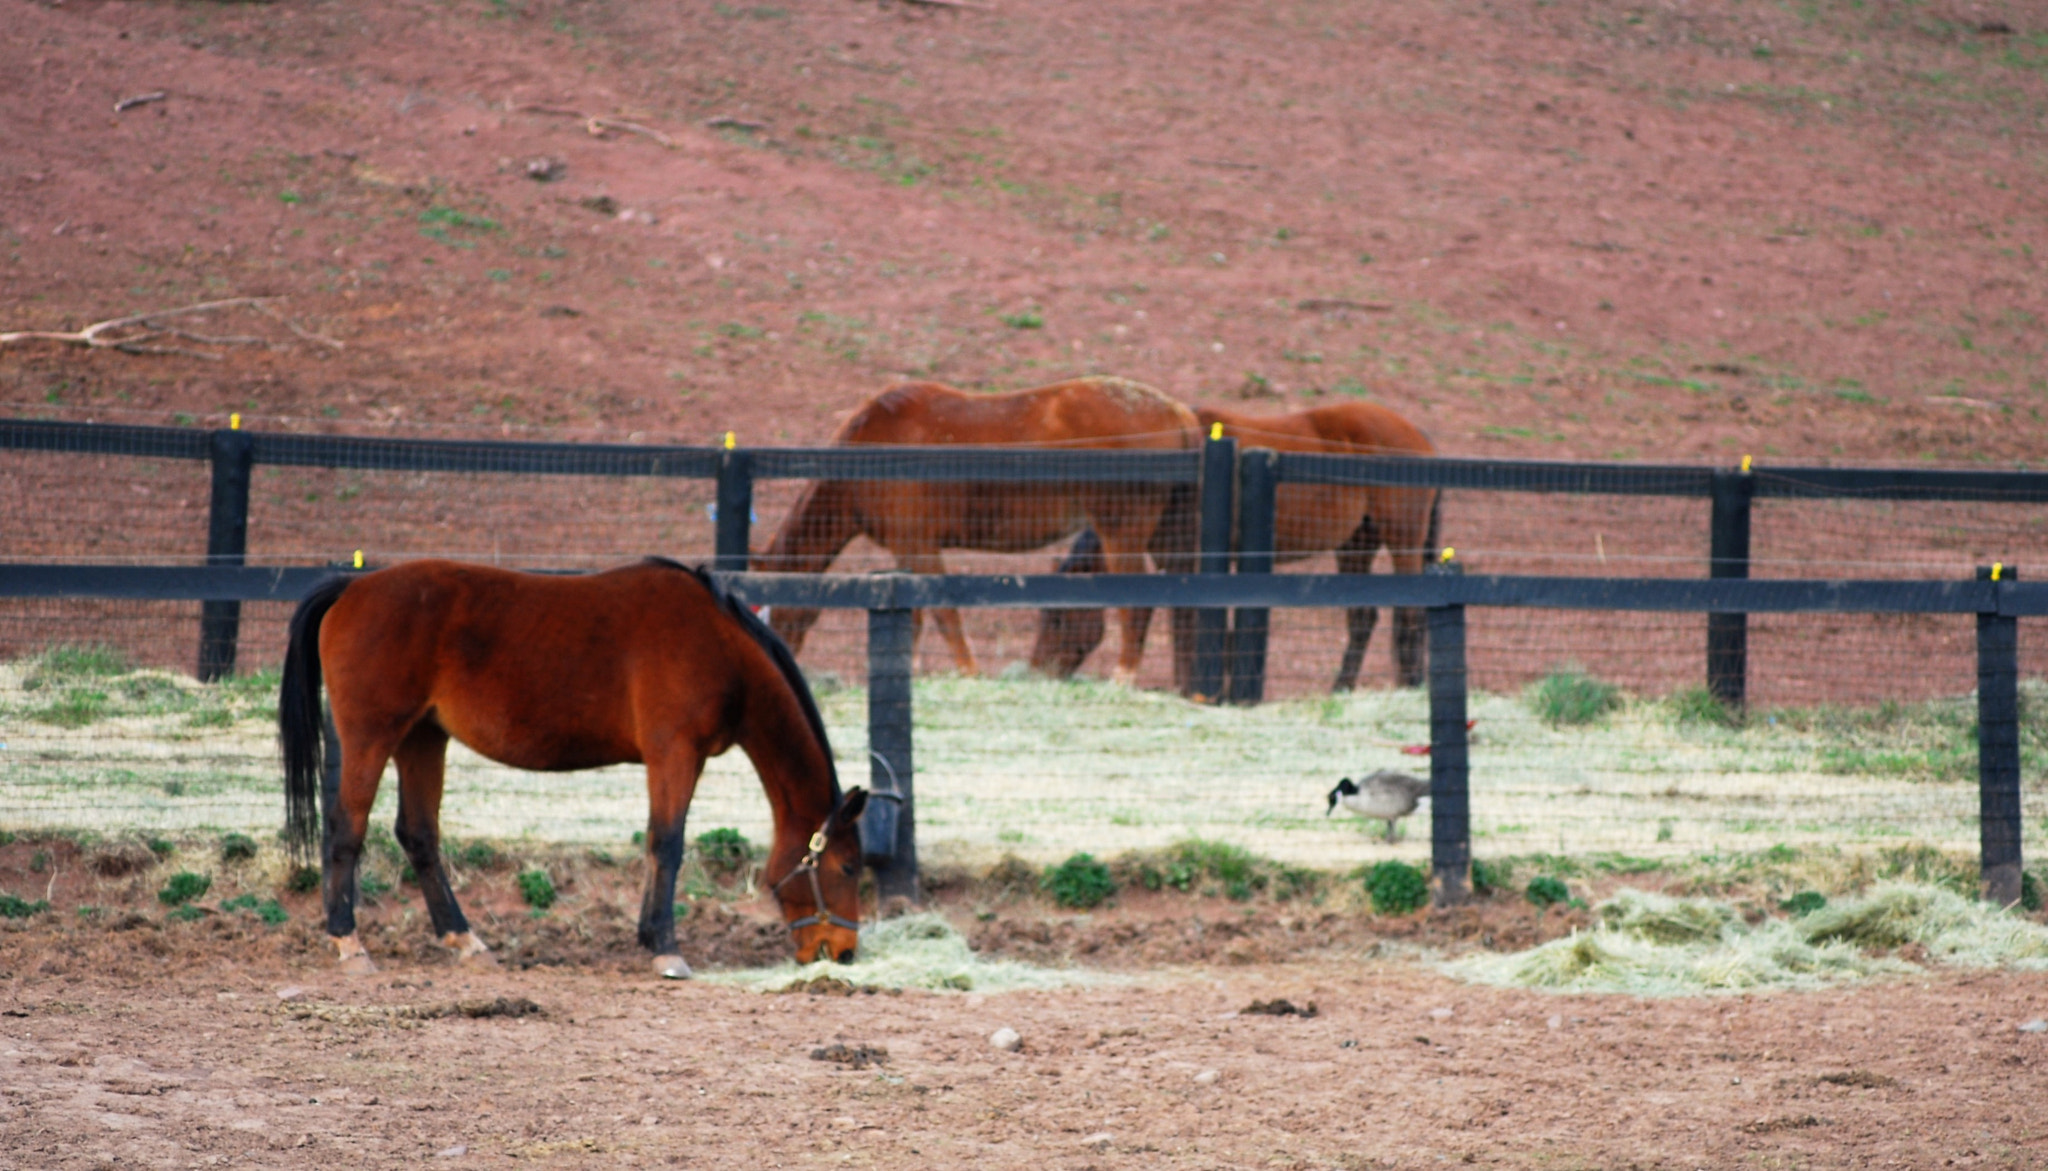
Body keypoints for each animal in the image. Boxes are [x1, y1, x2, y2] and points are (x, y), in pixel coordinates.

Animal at [278, 556, 864, 978]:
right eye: (849, 868)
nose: (844, 950)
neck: (719, 645)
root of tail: (352, 588)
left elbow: (655, 844)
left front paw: (649, 936)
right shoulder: (675, 754)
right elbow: (667, 845)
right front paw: (666, 947)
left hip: (423, 738)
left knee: (419, 834)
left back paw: (465, 940)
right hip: (373, 737)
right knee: (346, 828)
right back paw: (349, 943)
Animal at [757, 374, 1196, 679]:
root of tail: (1175, 410)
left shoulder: (917, 545)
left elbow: (944, 615)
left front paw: (968, 672)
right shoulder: (905, 552)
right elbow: (915, 619)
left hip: (1121, 532)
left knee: (1137, 606)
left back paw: (1124, 678)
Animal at [1024, 403, 1441, 696]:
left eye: (1057, 618)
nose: (1038, 671)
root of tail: (1419, 437)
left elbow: (1192, 623)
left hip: (1402, 541)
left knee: (1410, 615)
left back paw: (1410, 687)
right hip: (1356, 545)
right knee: (1362, 619)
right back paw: (1341, 688)